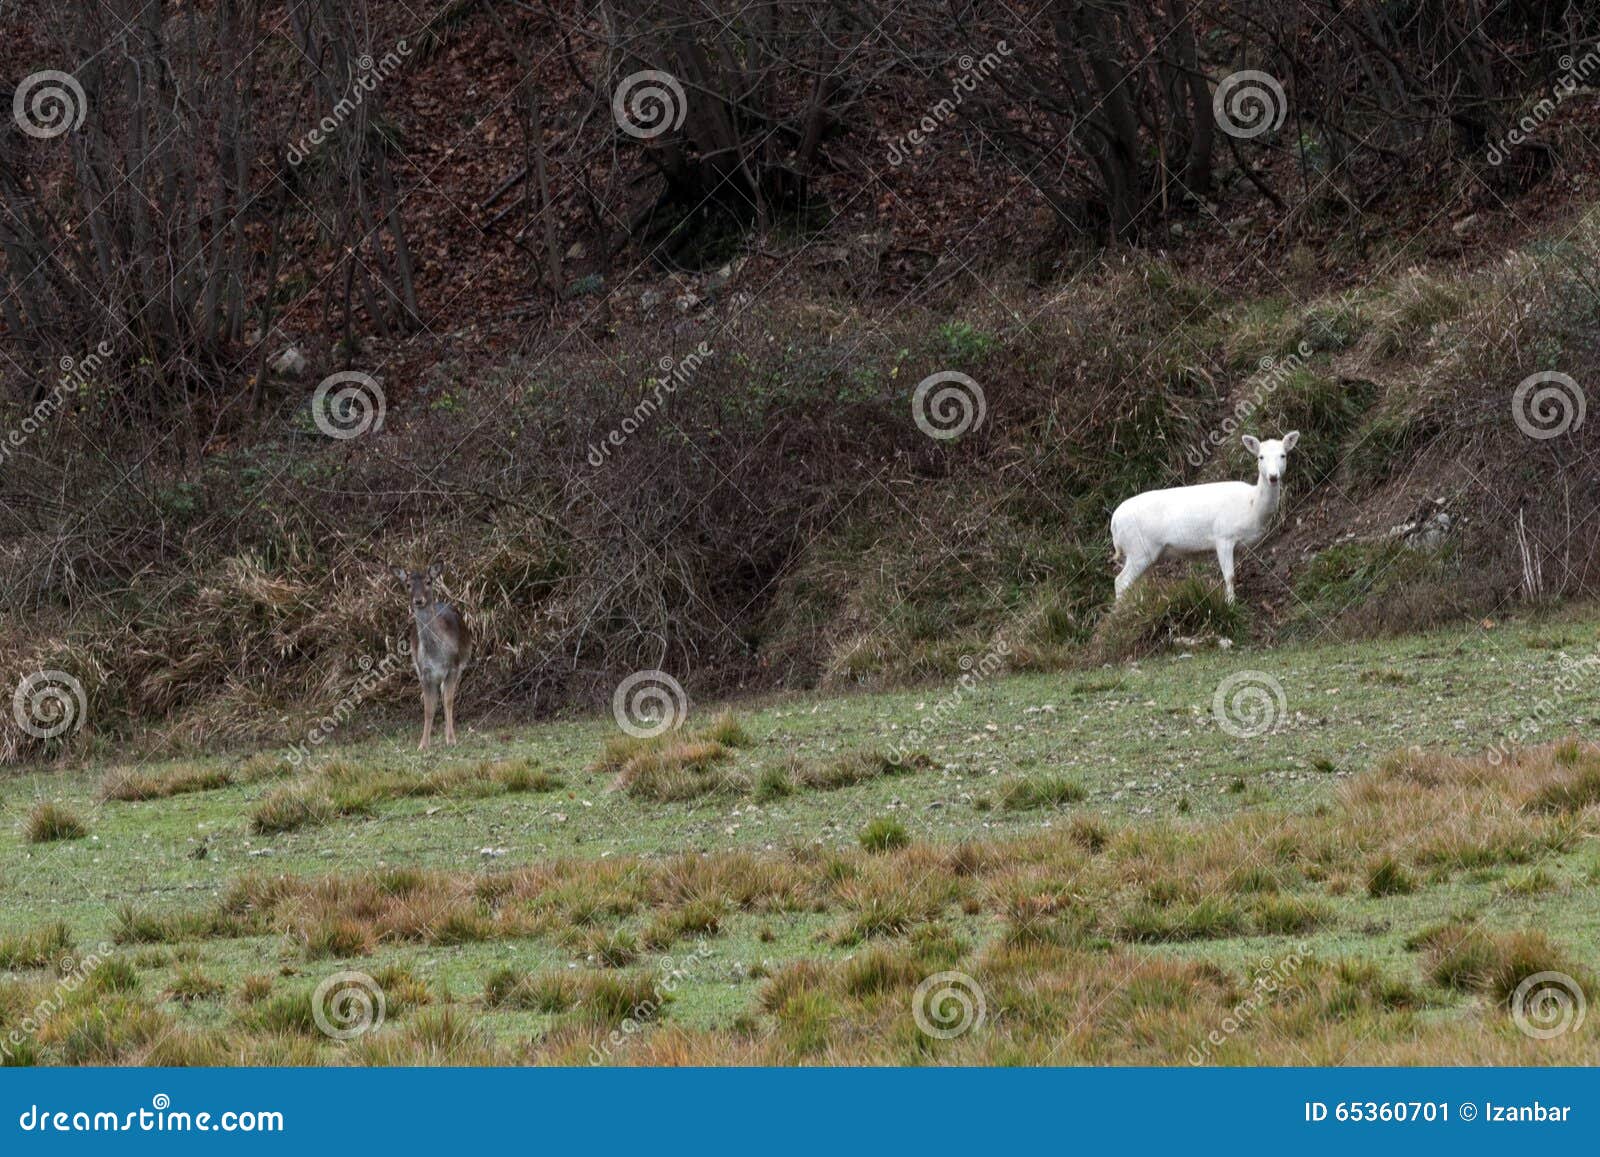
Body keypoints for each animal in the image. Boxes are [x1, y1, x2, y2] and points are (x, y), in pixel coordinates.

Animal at [390, 563, 470, 752]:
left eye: (428, 581)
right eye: (408, 584)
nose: (418, 600)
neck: (436, 655)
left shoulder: (453, 668)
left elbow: (448, 701)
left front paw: (451, 740)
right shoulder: (424, 673)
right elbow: (428, 708)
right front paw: (423, 744)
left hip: (462, 665)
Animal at [1113, 435, 1299, 604]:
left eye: (1283, 455)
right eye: (1260, 456)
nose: (1273, 477)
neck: (1251, 506)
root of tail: (1114, 524)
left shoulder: (1237, 545)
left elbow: (1234, 573)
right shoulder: (1223, 536)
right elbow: (1229, 575)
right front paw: (1230, 603)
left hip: (1145, 554)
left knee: (1137, 584)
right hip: (1139, 549)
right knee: (1121, 581)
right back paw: (1120, 610)